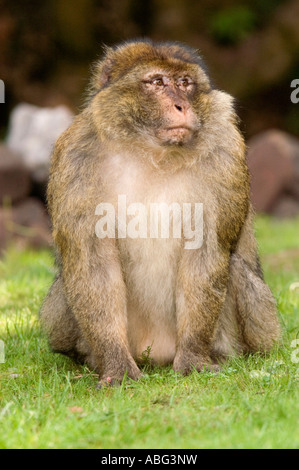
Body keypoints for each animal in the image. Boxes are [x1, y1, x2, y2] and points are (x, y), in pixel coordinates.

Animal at [41, 39, 282, 386]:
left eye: (184, 82)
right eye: (156, 82)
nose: (181, 106)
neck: (151, 152)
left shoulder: (226, 152)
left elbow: (204, 252)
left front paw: (194, 358)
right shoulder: (74, 156)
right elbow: (92, 259)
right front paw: (116, 366)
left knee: (234, 267)